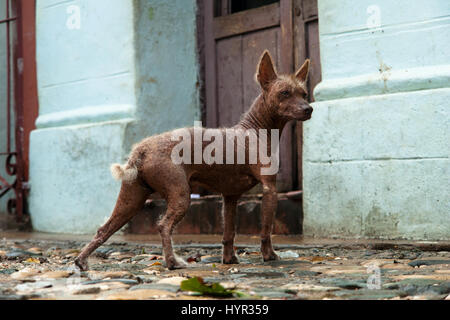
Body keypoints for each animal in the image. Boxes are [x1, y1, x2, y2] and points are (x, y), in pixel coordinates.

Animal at [74, 52, 312, 270]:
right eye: (284, 93)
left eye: (304, 93)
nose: (309, 108)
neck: (254, 129)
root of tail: (141, 149)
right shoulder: (270, 189)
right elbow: (266, 229)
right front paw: (269, 256)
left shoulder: (230, 197)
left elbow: (229, 232)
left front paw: (229, 260)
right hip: (180, 195)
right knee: (163, 225)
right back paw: (172, 262)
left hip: (130, 200)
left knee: (103, 230)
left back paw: (81, 261)